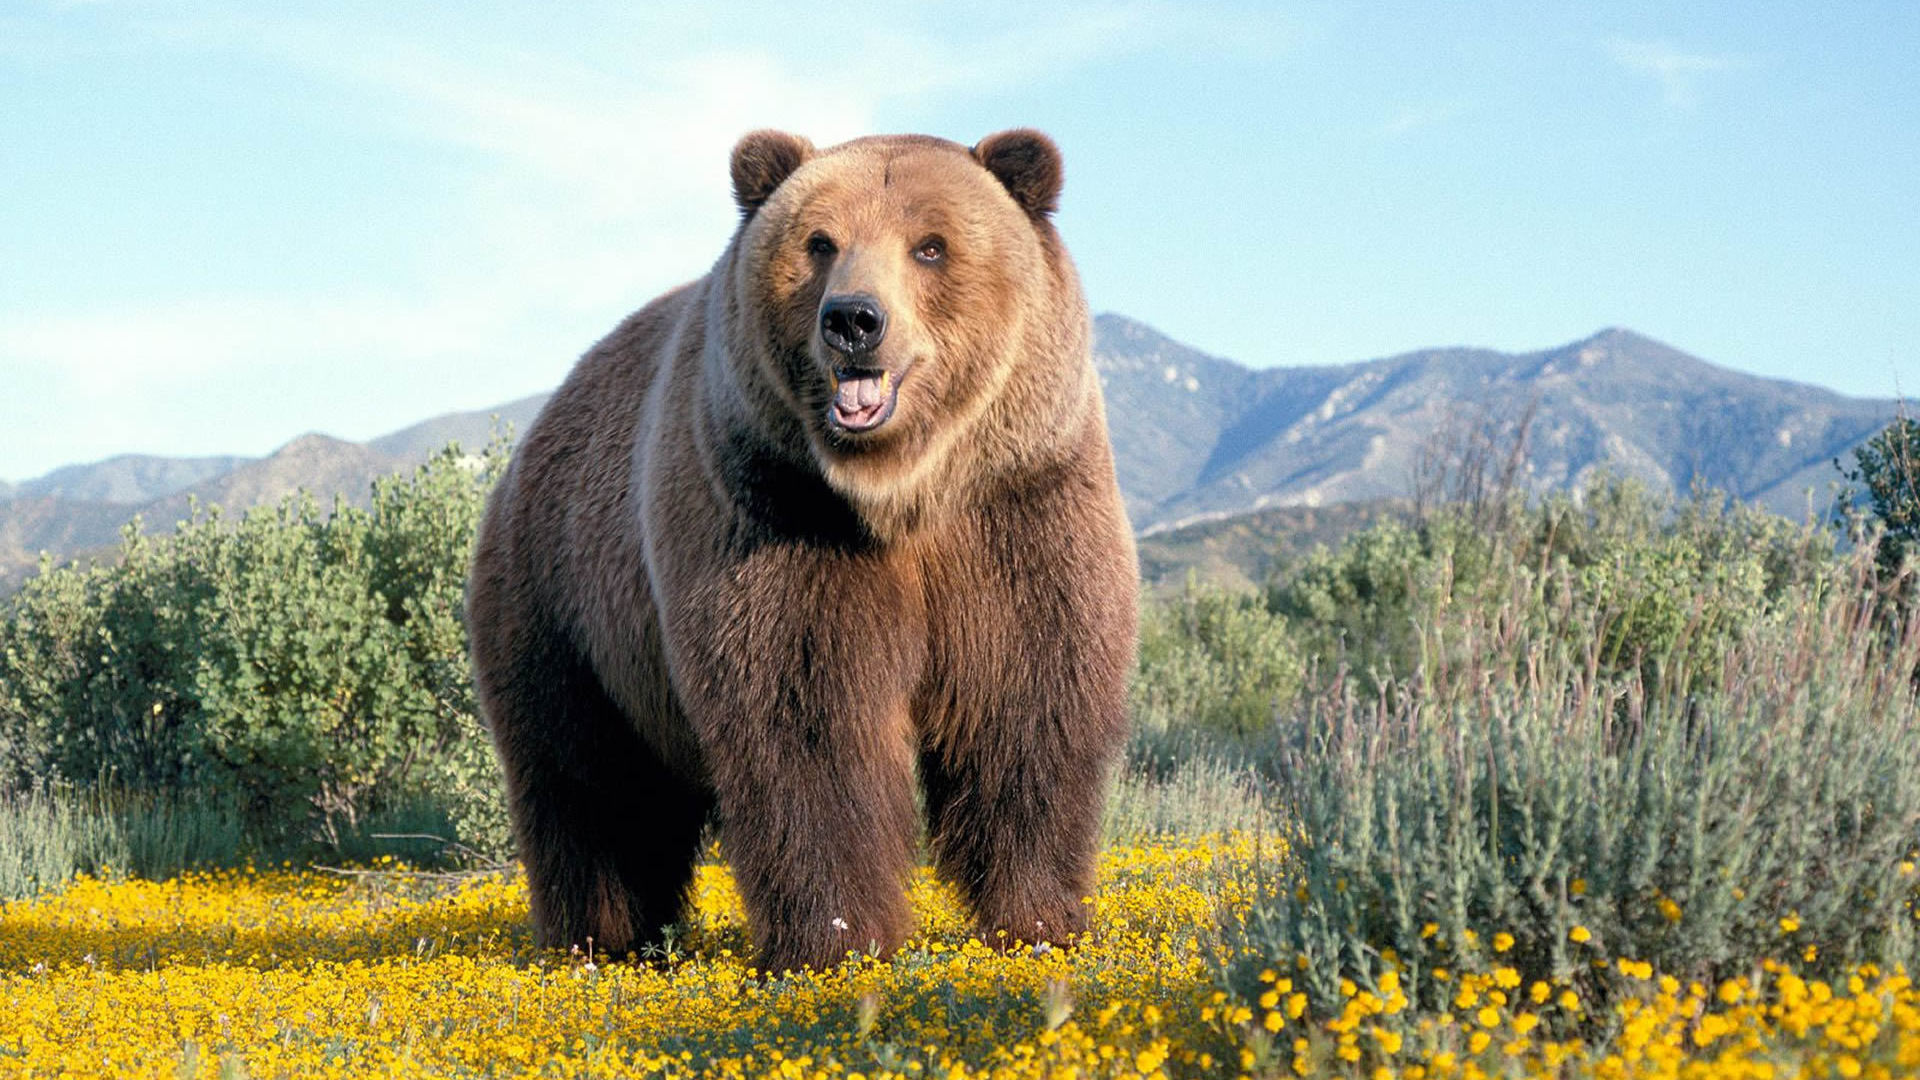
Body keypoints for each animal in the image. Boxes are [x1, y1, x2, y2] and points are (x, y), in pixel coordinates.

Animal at [466, 125, 1136, 968]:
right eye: (820, 242)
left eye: (931, 245)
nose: (853, 319)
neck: (902, 492)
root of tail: (533, 436)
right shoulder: (776, 514)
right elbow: (807, 719)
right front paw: (838, 939)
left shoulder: (1018, 506)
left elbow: (1026, 700)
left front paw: (1039, 919)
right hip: (566, 606)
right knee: (589, 783)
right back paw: (599, 938)